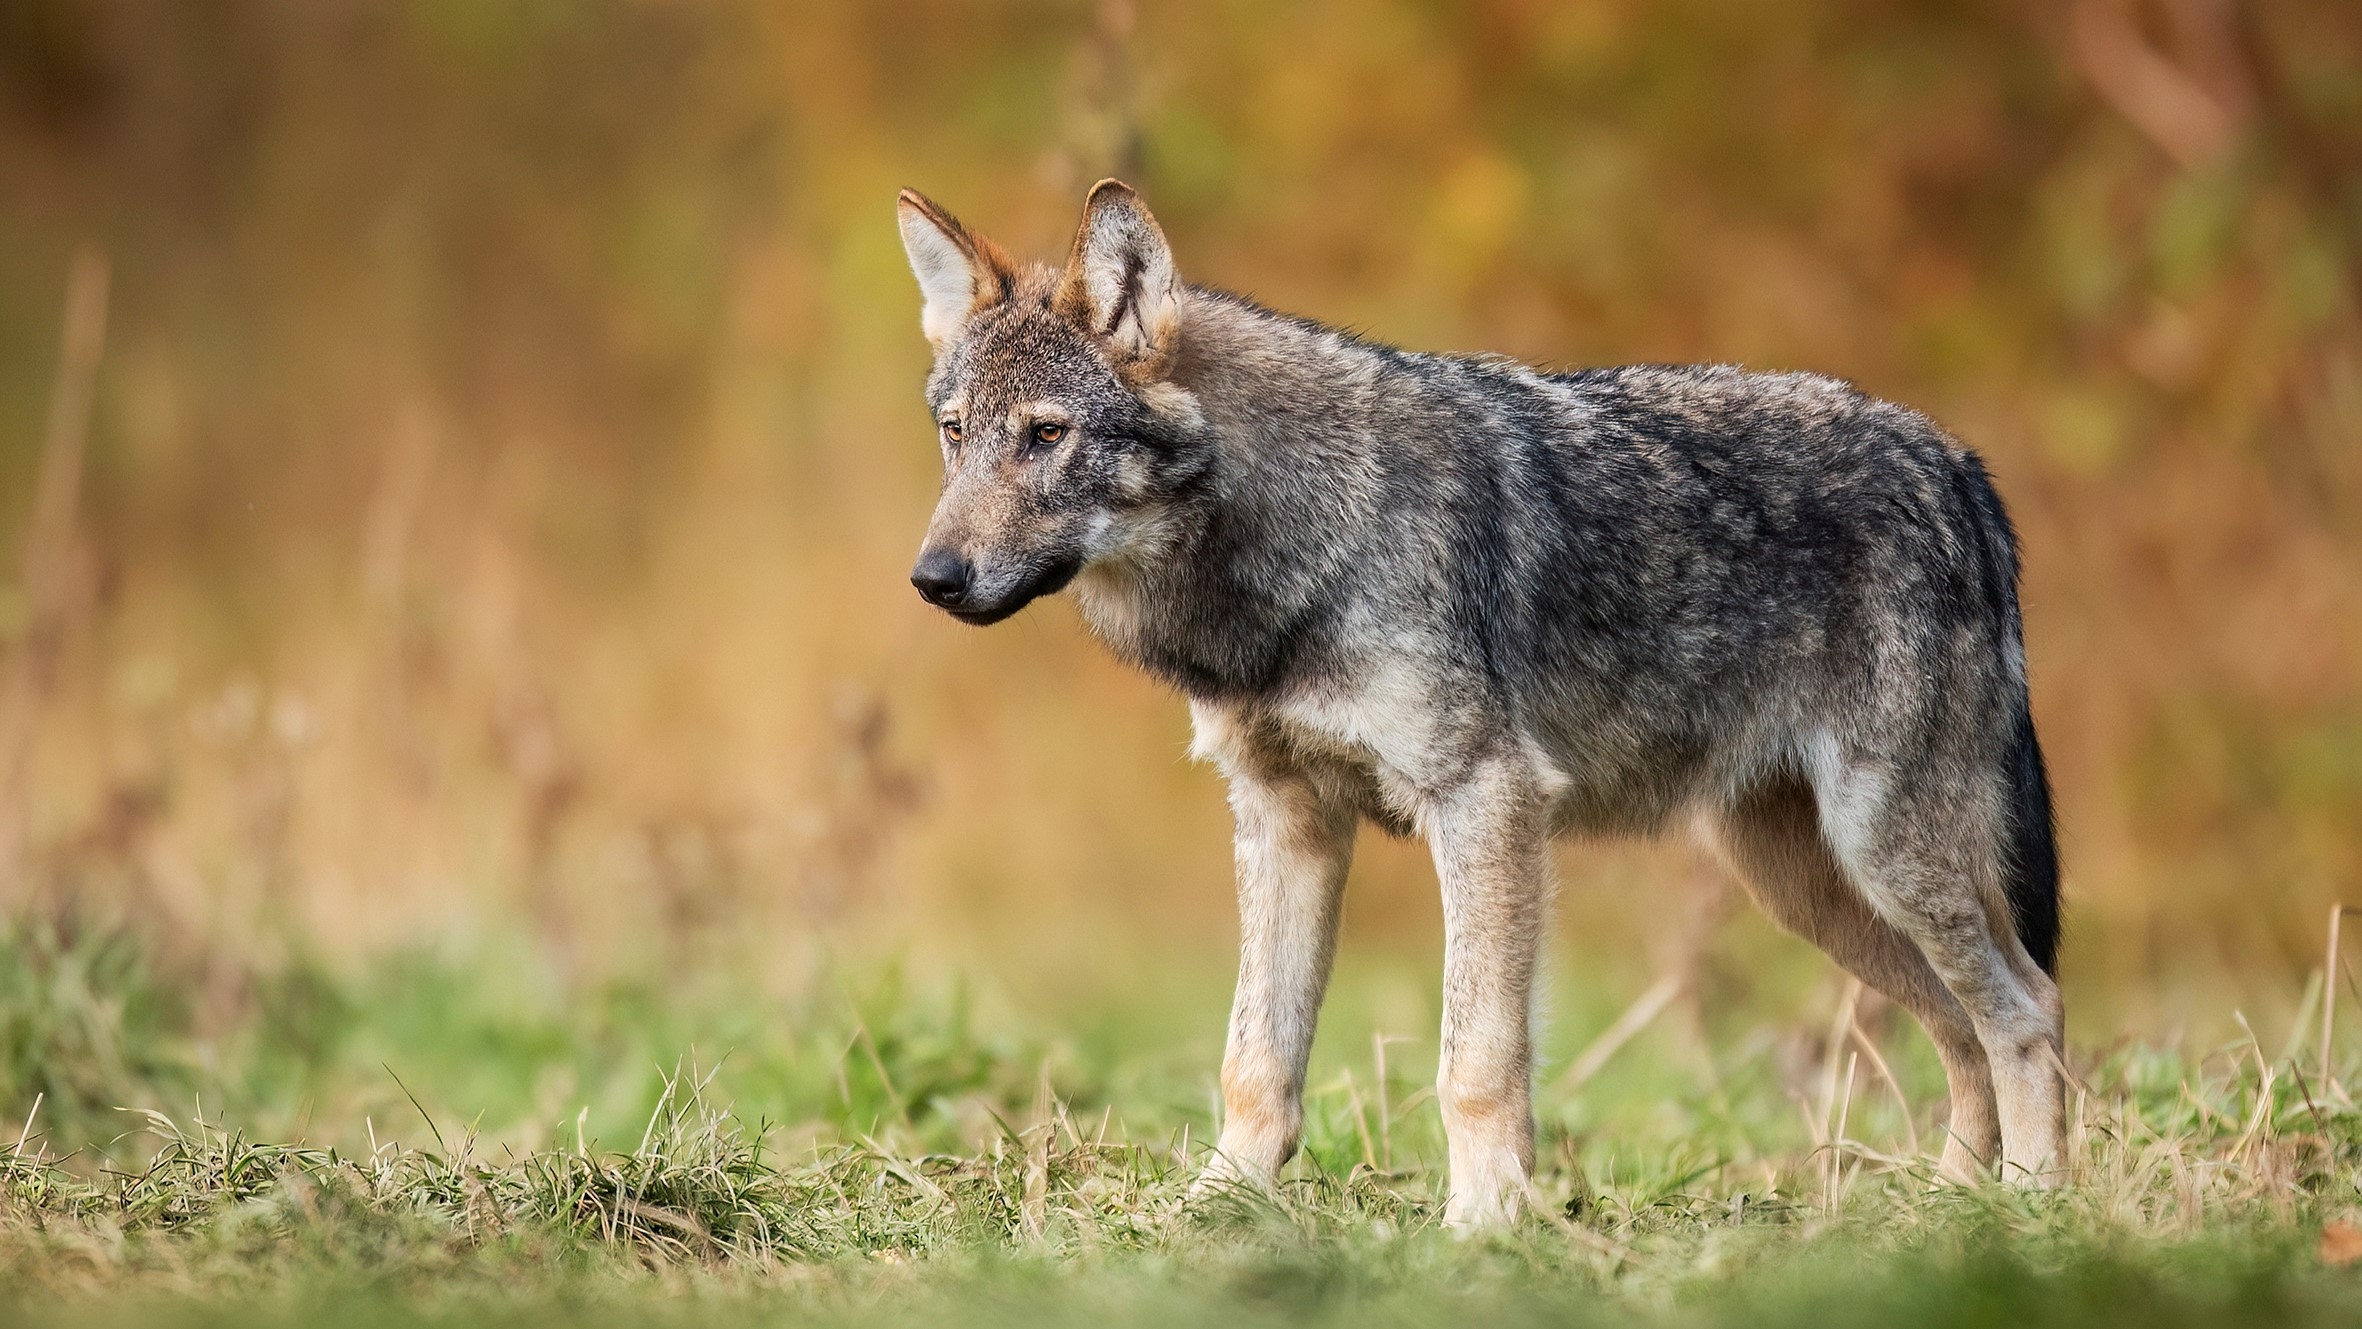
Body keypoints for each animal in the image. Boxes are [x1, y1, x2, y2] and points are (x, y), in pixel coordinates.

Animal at [892, 181, 2059, 1236]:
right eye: (953, 434)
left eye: (1045, 435)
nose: (932, 578)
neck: (1297, 551)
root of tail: (1958, 463)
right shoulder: (1284, 819)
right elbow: (1253, 1061)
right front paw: (1210, 1208)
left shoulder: (1486, 803)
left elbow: (1476, 1061)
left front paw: (1481, 1228)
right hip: (1807, 886)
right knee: (1967, 1029)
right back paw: (1953, 1212)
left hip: (1885, 859)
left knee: (2027, 1013)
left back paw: (2032, 1210)